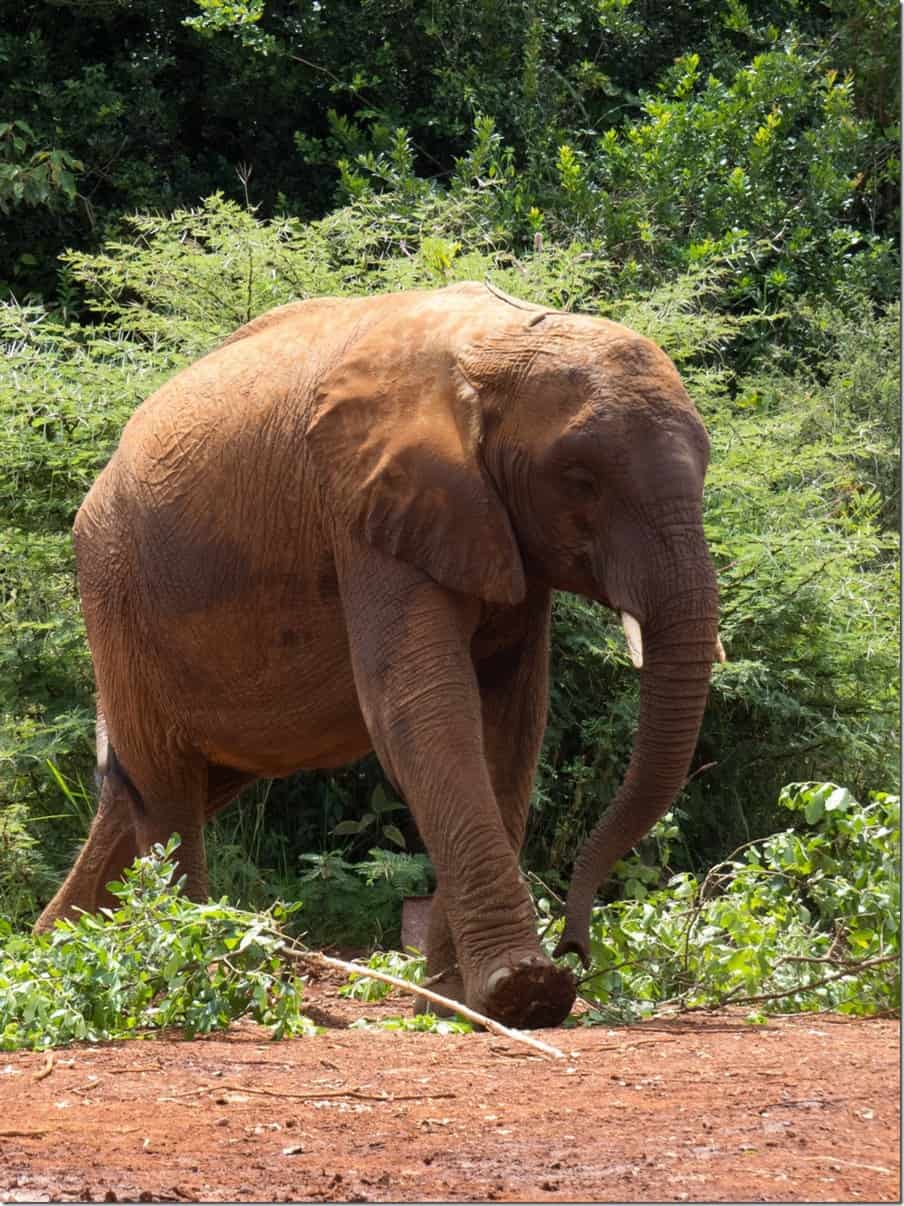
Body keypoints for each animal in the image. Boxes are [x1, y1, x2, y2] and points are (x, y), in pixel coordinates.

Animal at [35, 279, 728, 1027]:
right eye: (580, 479)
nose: (577, 946)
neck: (498, 345)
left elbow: (510, 724)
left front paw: (455, 1002)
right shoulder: (367, 504)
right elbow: (422, 709)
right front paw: (523, 991)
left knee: (151, 787)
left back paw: (53, 956)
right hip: (116, 587)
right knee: (167, 790)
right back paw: (194, 973)